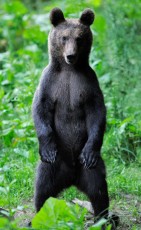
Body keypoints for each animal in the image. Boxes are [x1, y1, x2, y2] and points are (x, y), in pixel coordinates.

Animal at [32, 7, 118, 228]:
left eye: (79, 38)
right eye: (64, 37)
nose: (70, 56)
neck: (69, 70)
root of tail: (70, 178)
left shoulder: (88, 85)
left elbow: (97, 114)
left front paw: (89, 151)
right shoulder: (49, 83)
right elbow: (40, 109)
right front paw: (48, 148)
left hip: (90, 170)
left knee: (99, 190)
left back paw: (103, 219)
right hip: (54, 166)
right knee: (43, 188)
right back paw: (37, 217)